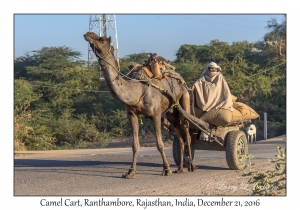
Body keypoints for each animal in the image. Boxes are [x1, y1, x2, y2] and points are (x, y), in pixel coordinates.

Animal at [84, 32, 197, 178]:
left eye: (101, 39)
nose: (88, 34)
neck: (137, 90)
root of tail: (181, 81)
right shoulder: (132, 114)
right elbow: (135, 145)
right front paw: (130, 172)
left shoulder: (156, 115)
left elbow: (159, 144)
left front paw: (167, 169)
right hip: (172, 114)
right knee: (180, 136)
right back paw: (181, 168)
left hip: (184, 98)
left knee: (187, 132)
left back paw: (192, 166)